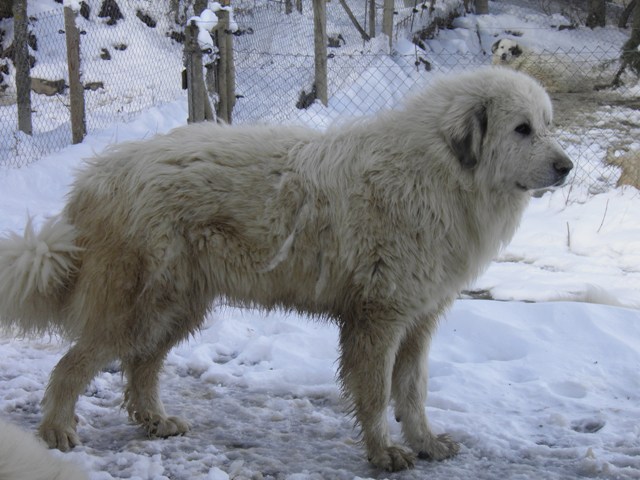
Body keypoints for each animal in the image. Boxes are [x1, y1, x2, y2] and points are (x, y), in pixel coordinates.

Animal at [0, 65, 568, 470]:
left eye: (546, 126)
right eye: (521, 129)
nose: (567, 167)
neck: (438, 173)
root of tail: (95, 176)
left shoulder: (418, 319)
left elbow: (412, 391)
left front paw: (425, 442)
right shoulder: (379, 317)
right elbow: (377, 393)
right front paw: (383, 452)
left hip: (177, 306)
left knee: (141, 365)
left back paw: (154, 421)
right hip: (138, 305)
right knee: (74, 364)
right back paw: (56, 430)